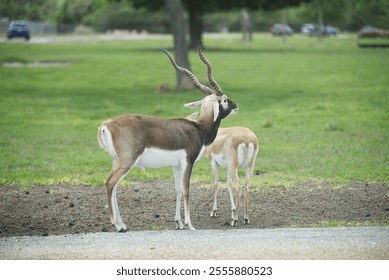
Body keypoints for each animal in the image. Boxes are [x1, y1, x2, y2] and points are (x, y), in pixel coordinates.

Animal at [97, 43, 238, 232]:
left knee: (115, 187)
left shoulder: (176, 165)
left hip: (116, 161)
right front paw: (190, 224)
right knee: (110, 183)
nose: (235, 105)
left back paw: (121, 224)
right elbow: (186, 190)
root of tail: (106, 124)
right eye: (224, 100)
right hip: (127, 161)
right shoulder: (188, 162)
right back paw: (118, 226)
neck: (200, 128)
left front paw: (178, 223)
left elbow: (177, 190)